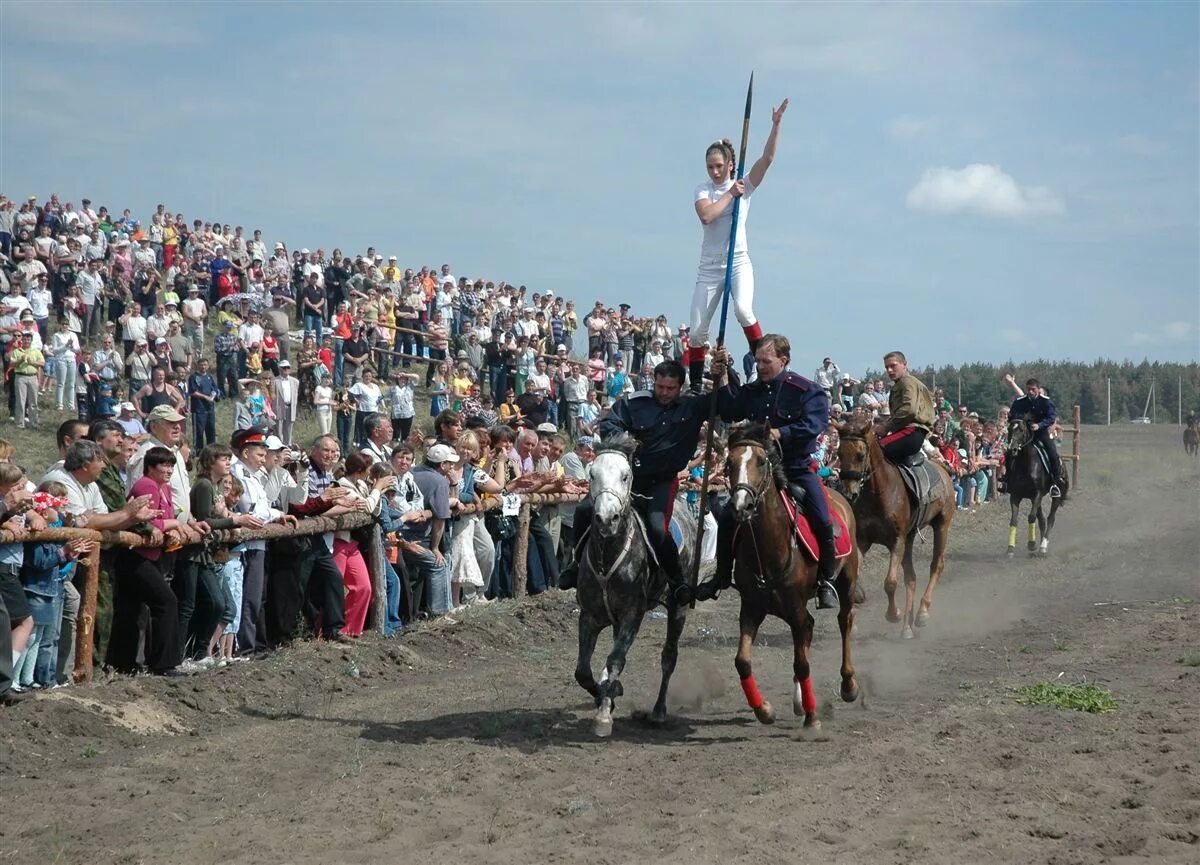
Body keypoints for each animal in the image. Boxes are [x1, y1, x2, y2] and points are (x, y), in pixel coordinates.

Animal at [571, 431, 696, 734]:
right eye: (592, 474)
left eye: (625, 475)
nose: (606, 518)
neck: (607, 557)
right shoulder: (589, 616)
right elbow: (583, 671)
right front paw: (607, 693)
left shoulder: (632, 615)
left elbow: (616, 658)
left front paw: (604, 714)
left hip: (677, 607)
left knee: (669, 656)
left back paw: (659, 711)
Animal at [720, 424, 864, 729]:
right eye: (730, 463)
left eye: (761, 461)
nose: (741, 506)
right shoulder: (751, 609)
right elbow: (742, 661)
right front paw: (764, 709)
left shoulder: (796, 610)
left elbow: (802, 662)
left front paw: (812, 718)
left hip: (846, 583)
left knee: (844, 621)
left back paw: (848, 685)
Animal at [835, 412, 955, 643]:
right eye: (839, 453)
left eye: (860, 455)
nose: (849, 493)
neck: (879, 492)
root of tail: (943, 471)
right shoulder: (863, 541)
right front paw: (857, 604)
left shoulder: (896, 542)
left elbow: (890, 583)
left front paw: (894, 614)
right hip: (910, 538)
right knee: (911, 578)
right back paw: (907, 627)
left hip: (941, 526)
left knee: (936, 565)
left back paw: (922, 613)